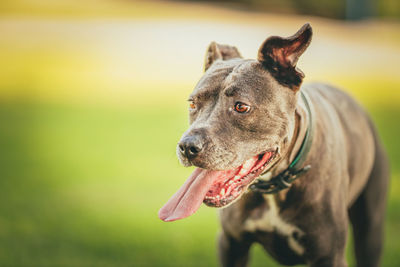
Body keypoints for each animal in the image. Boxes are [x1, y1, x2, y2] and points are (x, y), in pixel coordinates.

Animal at [158, 23, 390, 267]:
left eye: (241, 107)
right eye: (192, 103)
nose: (187, 147)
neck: (273, 186)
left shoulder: (329, 256)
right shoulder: (231, 244)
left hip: (371, 228)